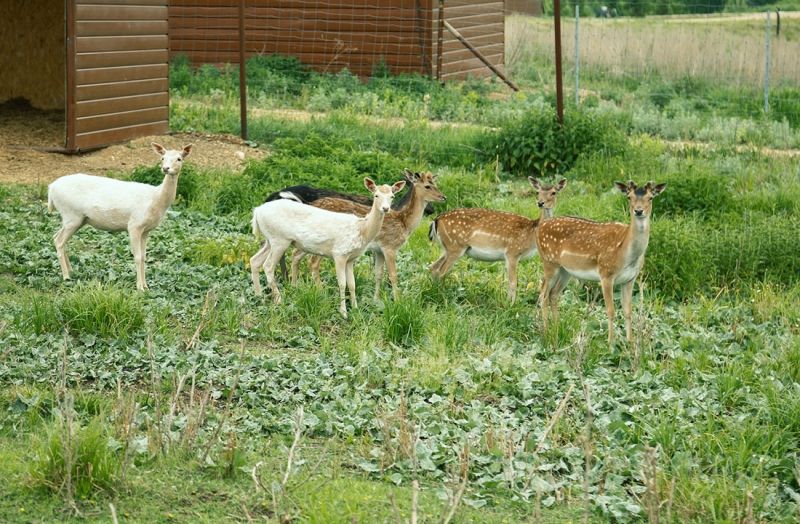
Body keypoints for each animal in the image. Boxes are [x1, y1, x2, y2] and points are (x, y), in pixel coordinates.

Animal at [47, 143, 193, 290]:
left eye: (179, 159)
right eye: (162, 158)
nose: (165, 168)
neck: (155, 199)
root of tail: (51, 189)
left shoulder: (146, 230)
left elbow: (144, 256)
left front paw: (146, 285)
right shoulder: (134, 224)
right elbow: (137, 256)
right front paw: (140, 287)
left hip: (77, 219)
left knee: (57, 237)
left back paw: (71, 270)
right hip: (71, 214)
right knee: (59, 241)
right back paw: (66, 276)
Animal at [248, 176, 404, 318]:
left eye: (392, 196)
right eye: (376, 195)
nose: (386, 208)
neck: (362, 229)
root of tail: (257, 212)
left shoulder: (351, 258)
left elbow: (352, 284)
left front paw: (355, 309)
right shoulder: (339, 253)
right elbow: (342, 283)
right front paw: (343, 313)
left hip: (270, 240)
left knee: (254, 260)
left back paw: (259, 295)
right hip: (279, 239)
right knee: (268, 266)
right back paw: (279, 300)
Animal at [290, 171, 446, 298]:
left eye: (436, 184)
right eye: (427, 186)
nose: (443, 197)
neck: (404, 223)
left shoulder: (379, 250)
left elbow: (378, 274)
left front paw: (376, 300)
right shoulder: (390, 246)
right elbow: (393, 275)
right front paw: (398, 301)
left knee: (296, 254)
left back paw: (294, 287)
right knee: (313, 262)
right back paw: (319, 291)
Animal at [428, 177, 564, 302]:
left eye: (554, 192)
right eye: (537, 192)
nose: (540, 203)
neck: (531, 235)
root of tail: (436, 220)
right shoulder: (512, 252)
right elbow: (513, 282)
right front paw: (510, 305)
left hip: (447, 247)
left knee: (433, 267)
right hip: (456, 246)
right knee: (441, 271)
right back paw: (443, 296)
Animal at [536, 180, 668, 344]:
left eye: (650, 197)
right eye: (629, 197)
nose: (638, 211)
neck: (626, 253)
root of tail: (539, 228)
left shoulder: (631, 278)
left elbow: (628, 311)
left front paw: (630, 343)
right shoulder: (606, 274)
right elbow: (611, 311)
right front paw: (610, 343)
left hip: (565, 270)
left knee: (553, 294)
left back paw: (557, 328)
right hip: (548, 262)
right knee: (543, 294)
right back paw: (546, 332)